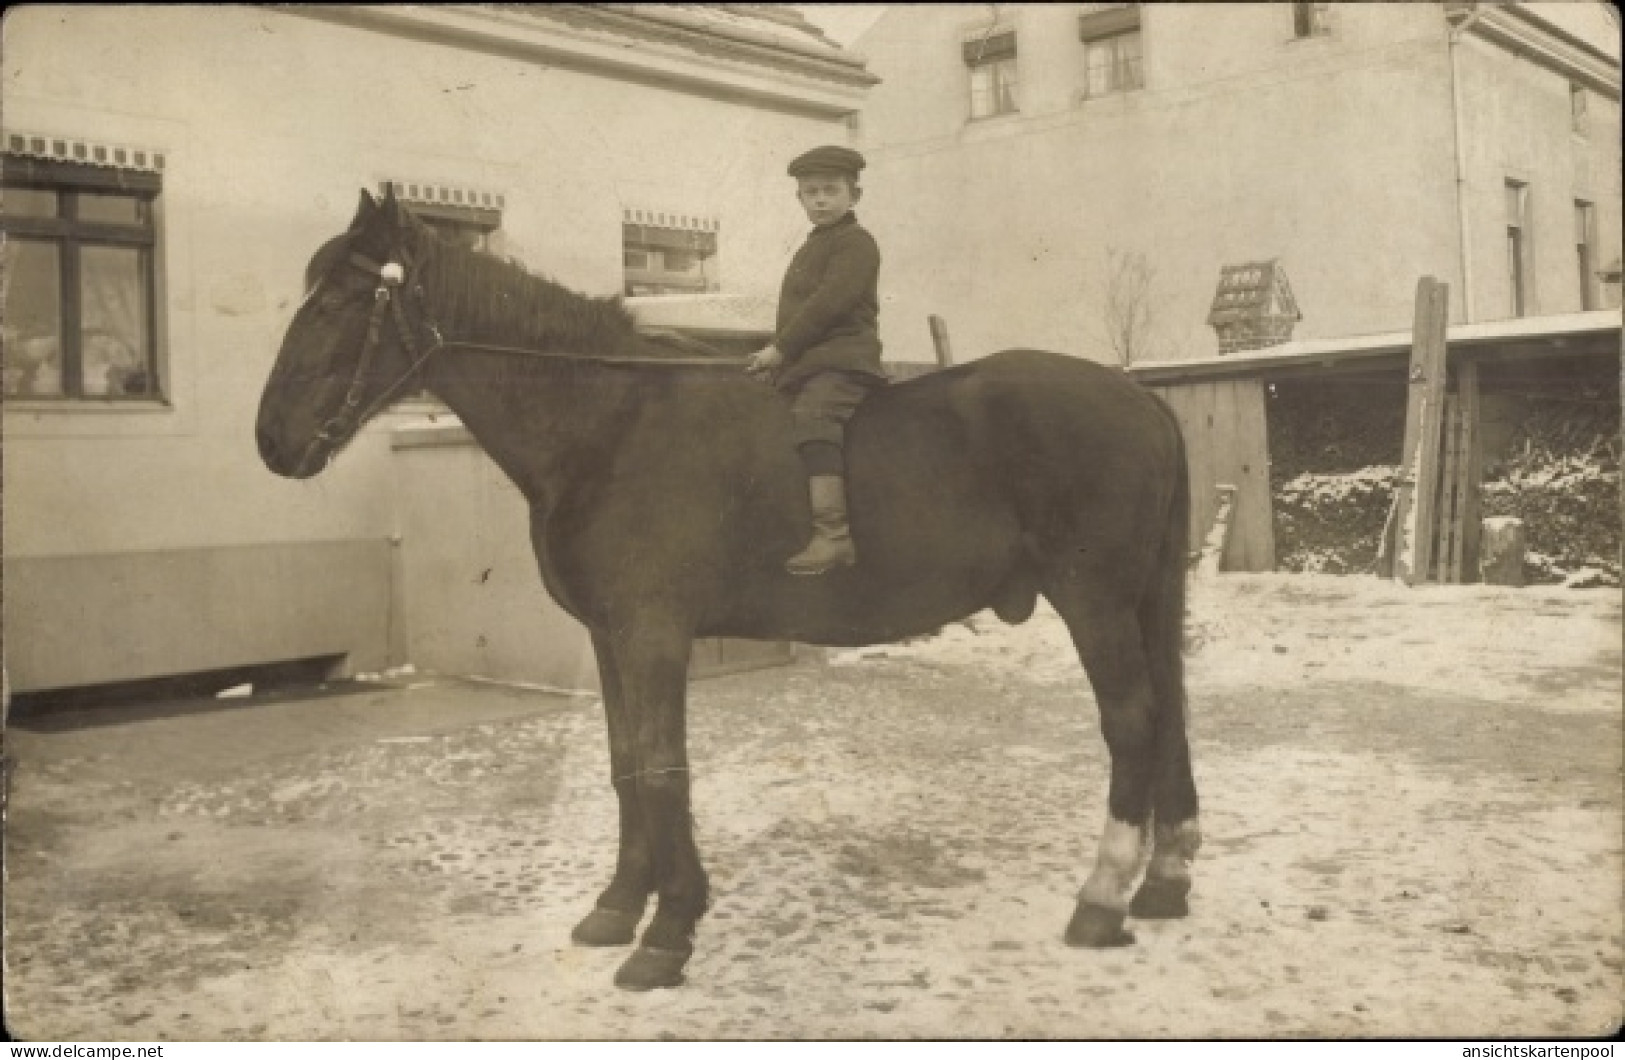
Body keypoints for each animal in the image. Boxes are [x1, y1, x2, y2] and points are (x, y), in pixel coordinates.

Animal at [255, 188, 1202, 992]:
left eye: (338, 302)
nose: (270, 439)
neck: (607, 424)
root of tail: (1139, 397)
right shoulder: (609, 637)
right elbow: (625, 765)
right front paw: (618, 906)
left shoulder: (652, 633)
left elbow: (663, 770)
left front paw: (668, 930)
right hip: (1142, 602)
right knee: (1168, 718)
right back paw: (1162, 880)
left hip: (1093, 602)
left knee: (1131, 722)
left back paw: (1101, 897)